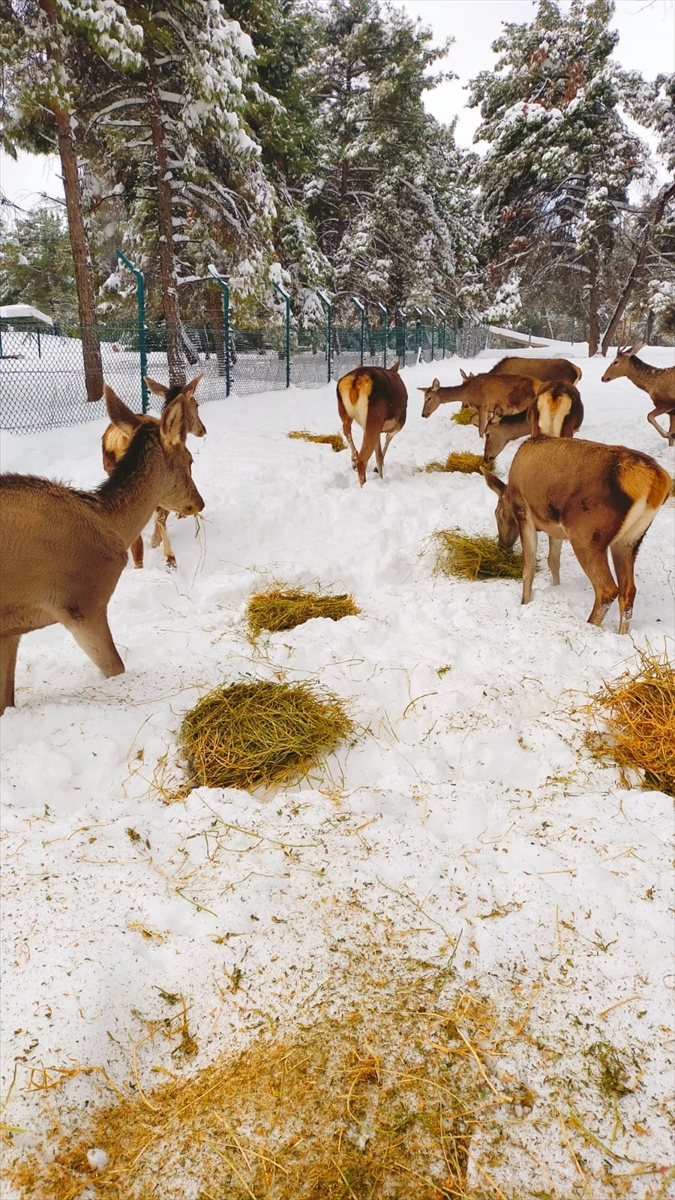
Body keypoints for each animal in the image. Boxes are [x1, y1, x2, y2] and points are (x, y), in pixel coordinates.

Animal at [1, 388, 204, 715]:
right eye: (189, 459)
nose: (199, 502)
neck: (106, 520)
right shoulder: (81, 601)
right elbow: (116, 668)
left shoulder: (10, 629)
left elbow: (6, 702)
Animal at [478, 436, 667, 633]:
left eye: (497, 513)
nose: (501, 546)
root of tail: (656, 481)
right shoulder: (555, 526)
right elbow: (553, 561)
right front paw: (556, 586)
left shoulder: (524, 512)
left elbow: (528, 567)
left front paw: (524, 602)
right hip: (629, 541)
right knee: (628, 591)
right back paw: (622, 633)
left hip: (586, 536)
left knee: (607, 590)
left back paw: (589, 626)